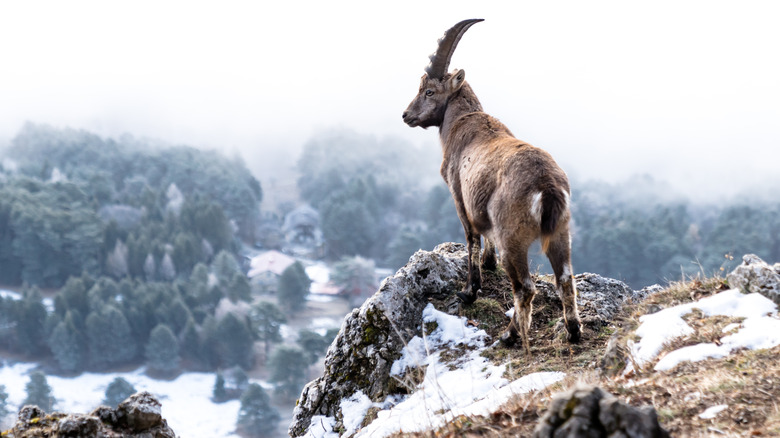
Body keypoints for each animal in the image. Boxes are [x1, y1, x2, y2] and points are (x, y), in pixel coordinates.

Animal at [406, 18, 580, 352]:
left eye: (429, 91)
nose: (406, 115)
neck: (462, 122)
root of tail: (547, 186)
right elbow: (483, 234)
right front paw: (488, 264)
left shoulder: (459, 194)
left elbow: (471, 237)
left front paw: (469, 290)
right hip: (562, 231)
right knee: (565, 278)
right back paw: (574, 331)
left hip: (513, 237)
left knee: (525, 288)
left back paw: (509, 335)